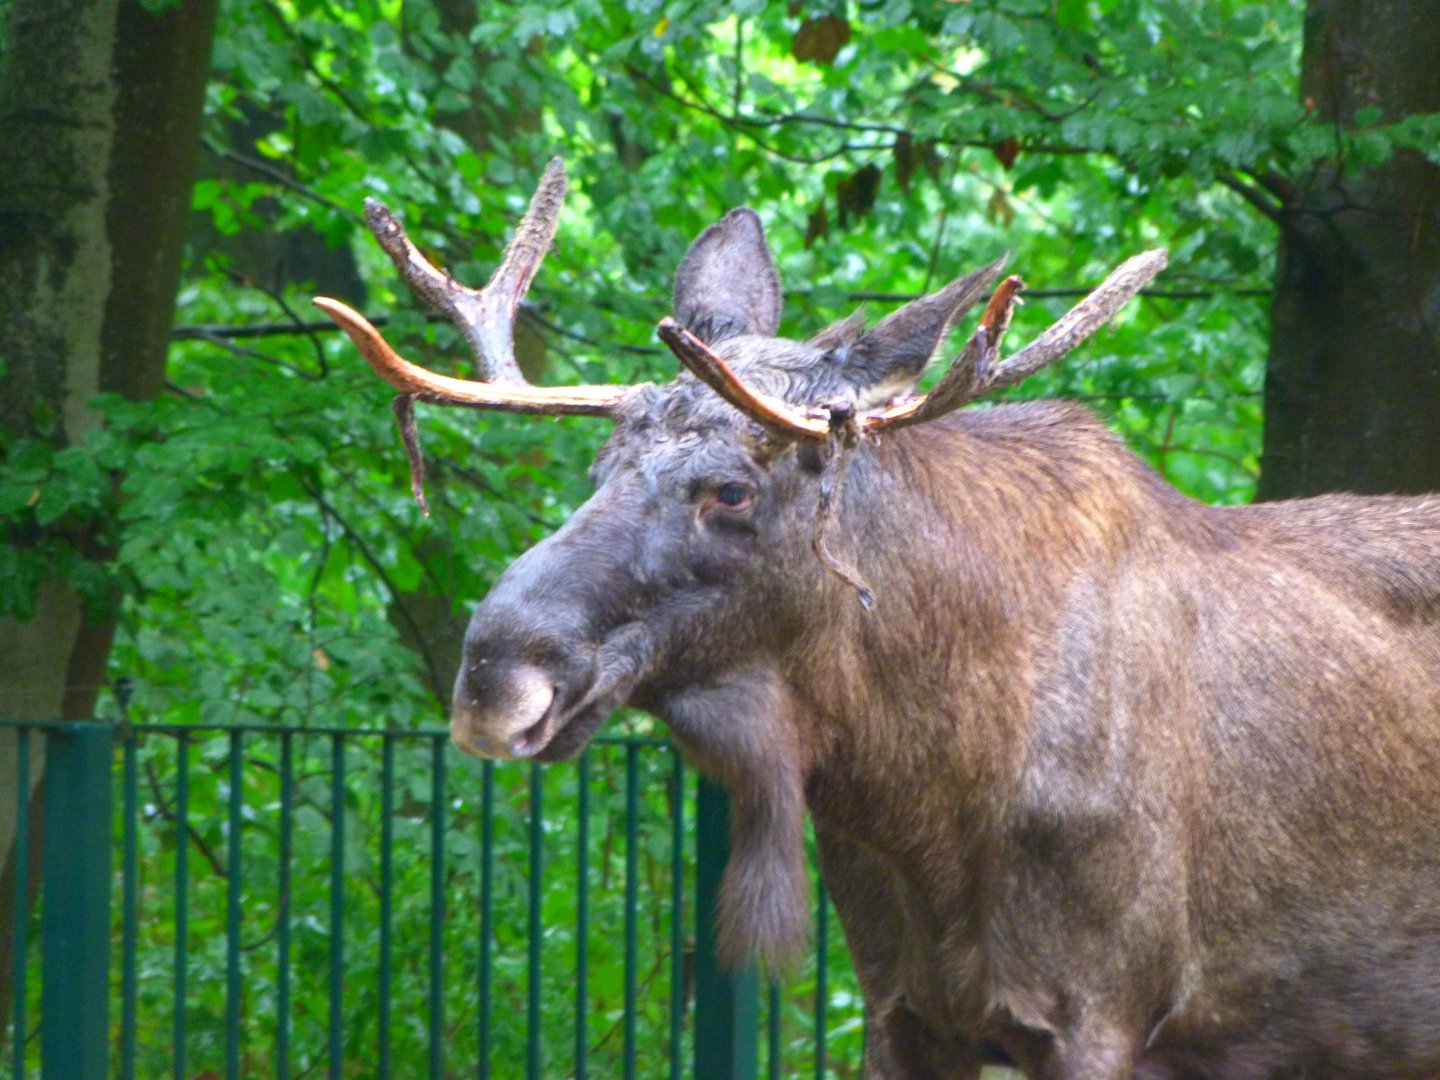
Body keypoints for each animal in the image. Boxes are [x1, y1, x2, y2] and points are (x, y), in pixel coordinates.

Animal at [314, 160, 1440, 1080]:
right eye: (600, 465)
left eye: (731, 491)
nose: (495, 673)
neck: (917, 786)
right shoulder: (903, 1008)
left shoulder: (1106, 1009)